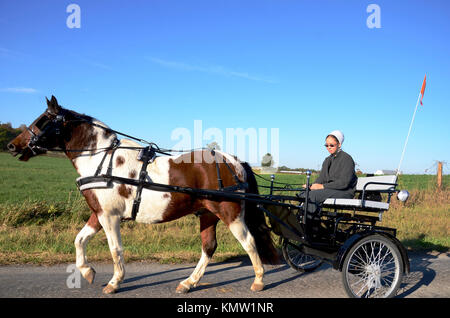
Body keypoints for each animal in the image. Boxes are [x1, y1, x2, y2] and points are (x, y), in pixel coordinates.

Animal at [7, 95, 278, 294]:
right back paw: (188, 283)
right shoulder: (99, 214)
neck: (101, 160)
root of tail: (234, 161)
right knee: (209, 247)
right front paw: (87, 271)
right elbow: (79, 240)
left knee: (249, 241)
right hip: (207, 214)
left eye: (43, 120)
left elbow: (115, 249)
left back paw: (259, 280)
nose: (11, 145)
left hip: (230, 213)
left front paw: (114, 282)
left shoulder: (110, 217)